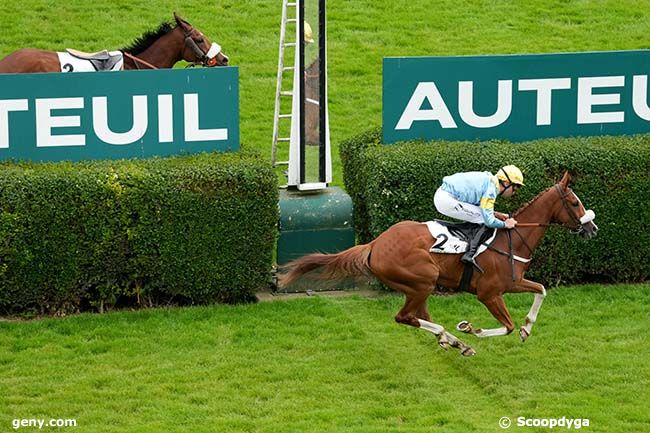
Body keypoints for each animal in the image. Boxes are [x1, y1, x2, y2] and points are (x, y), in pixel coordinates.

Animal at [278, 170, 596, 356]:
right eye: (575, 203)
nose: (592, 229)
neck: (512, 240)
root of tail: (374, 245)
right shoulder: (489, 293)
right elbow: (505, 325)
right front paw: (473, 329)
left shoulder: (514, 281)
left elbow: (541, 290)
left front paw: (526, 328)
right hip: (423, 279)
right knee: (404, 317)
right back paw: (454, 337)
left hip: (417, 285)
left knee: (419, 315)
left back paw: (453, 341)